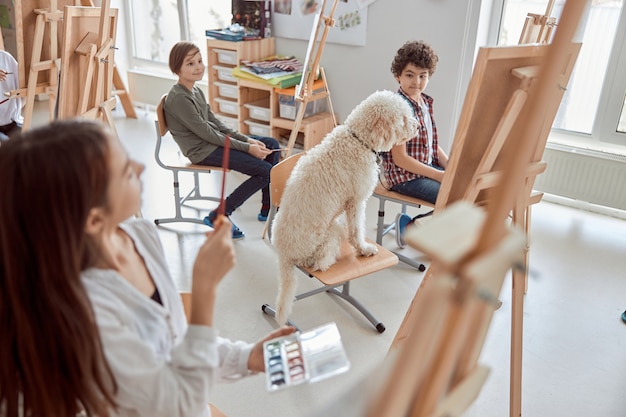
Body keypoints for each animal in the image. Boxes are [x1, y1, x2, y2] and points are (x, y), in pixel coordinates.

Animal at [270, 90, 416, 324]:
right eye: (403, 118)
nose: (417, 126)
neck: (358, 140)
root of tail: (284, 256)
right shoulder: (356, 201)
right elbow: (356, 231)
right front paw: (364, 249)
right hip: (330, 232)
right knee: (320, 262)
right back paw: (328, 260)